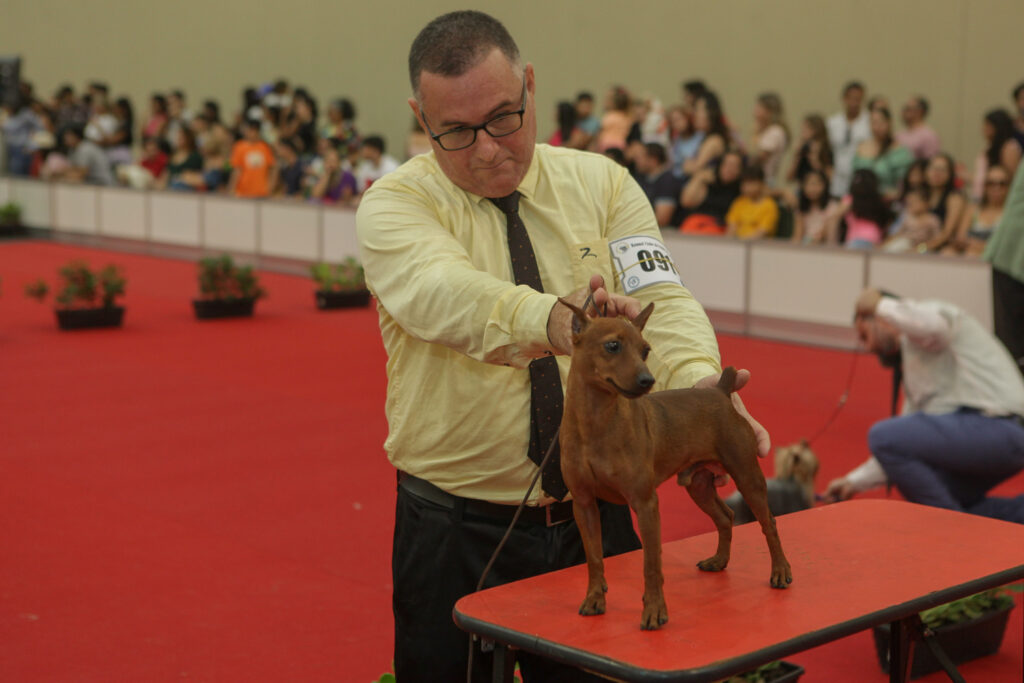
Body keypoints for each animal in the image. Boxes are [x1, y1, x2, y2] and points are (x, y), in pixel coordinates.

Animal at [561, 299, 790, 630]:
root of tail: (720, 391)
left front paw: (654, 610)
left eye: (645, 350)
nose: (647, 380)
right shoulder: (584, 504)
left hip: (747, 475)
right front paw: (594, 599)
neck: (596, 424)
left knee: (768, 522)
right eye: (613, 345)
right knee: (726, 516)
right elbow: (594, 558)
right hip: (699, 485)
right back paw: (719, 561)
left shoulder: (645, 504)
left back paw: (781, 571)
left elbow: (651, 563)